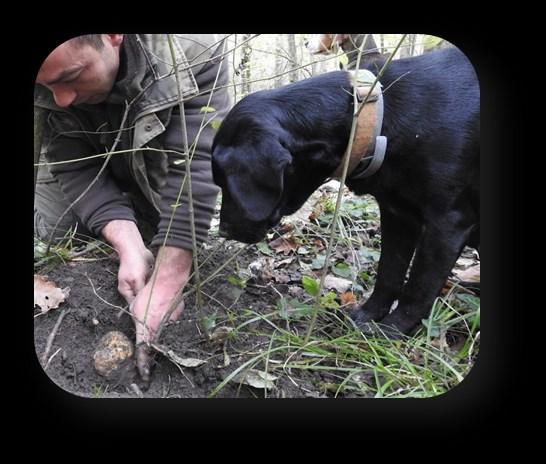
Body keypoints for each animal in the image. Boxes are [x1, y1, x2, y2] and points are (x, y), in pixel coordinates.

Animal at [210, 47, 478, 336]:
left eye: (228, 183)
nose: (222, 231)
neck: (377, 119)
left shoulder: (447, 224)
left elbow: (418, 289)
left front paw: (391, 332)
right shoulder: (397, 216)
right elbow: (388, 273)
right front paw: (367, 316)